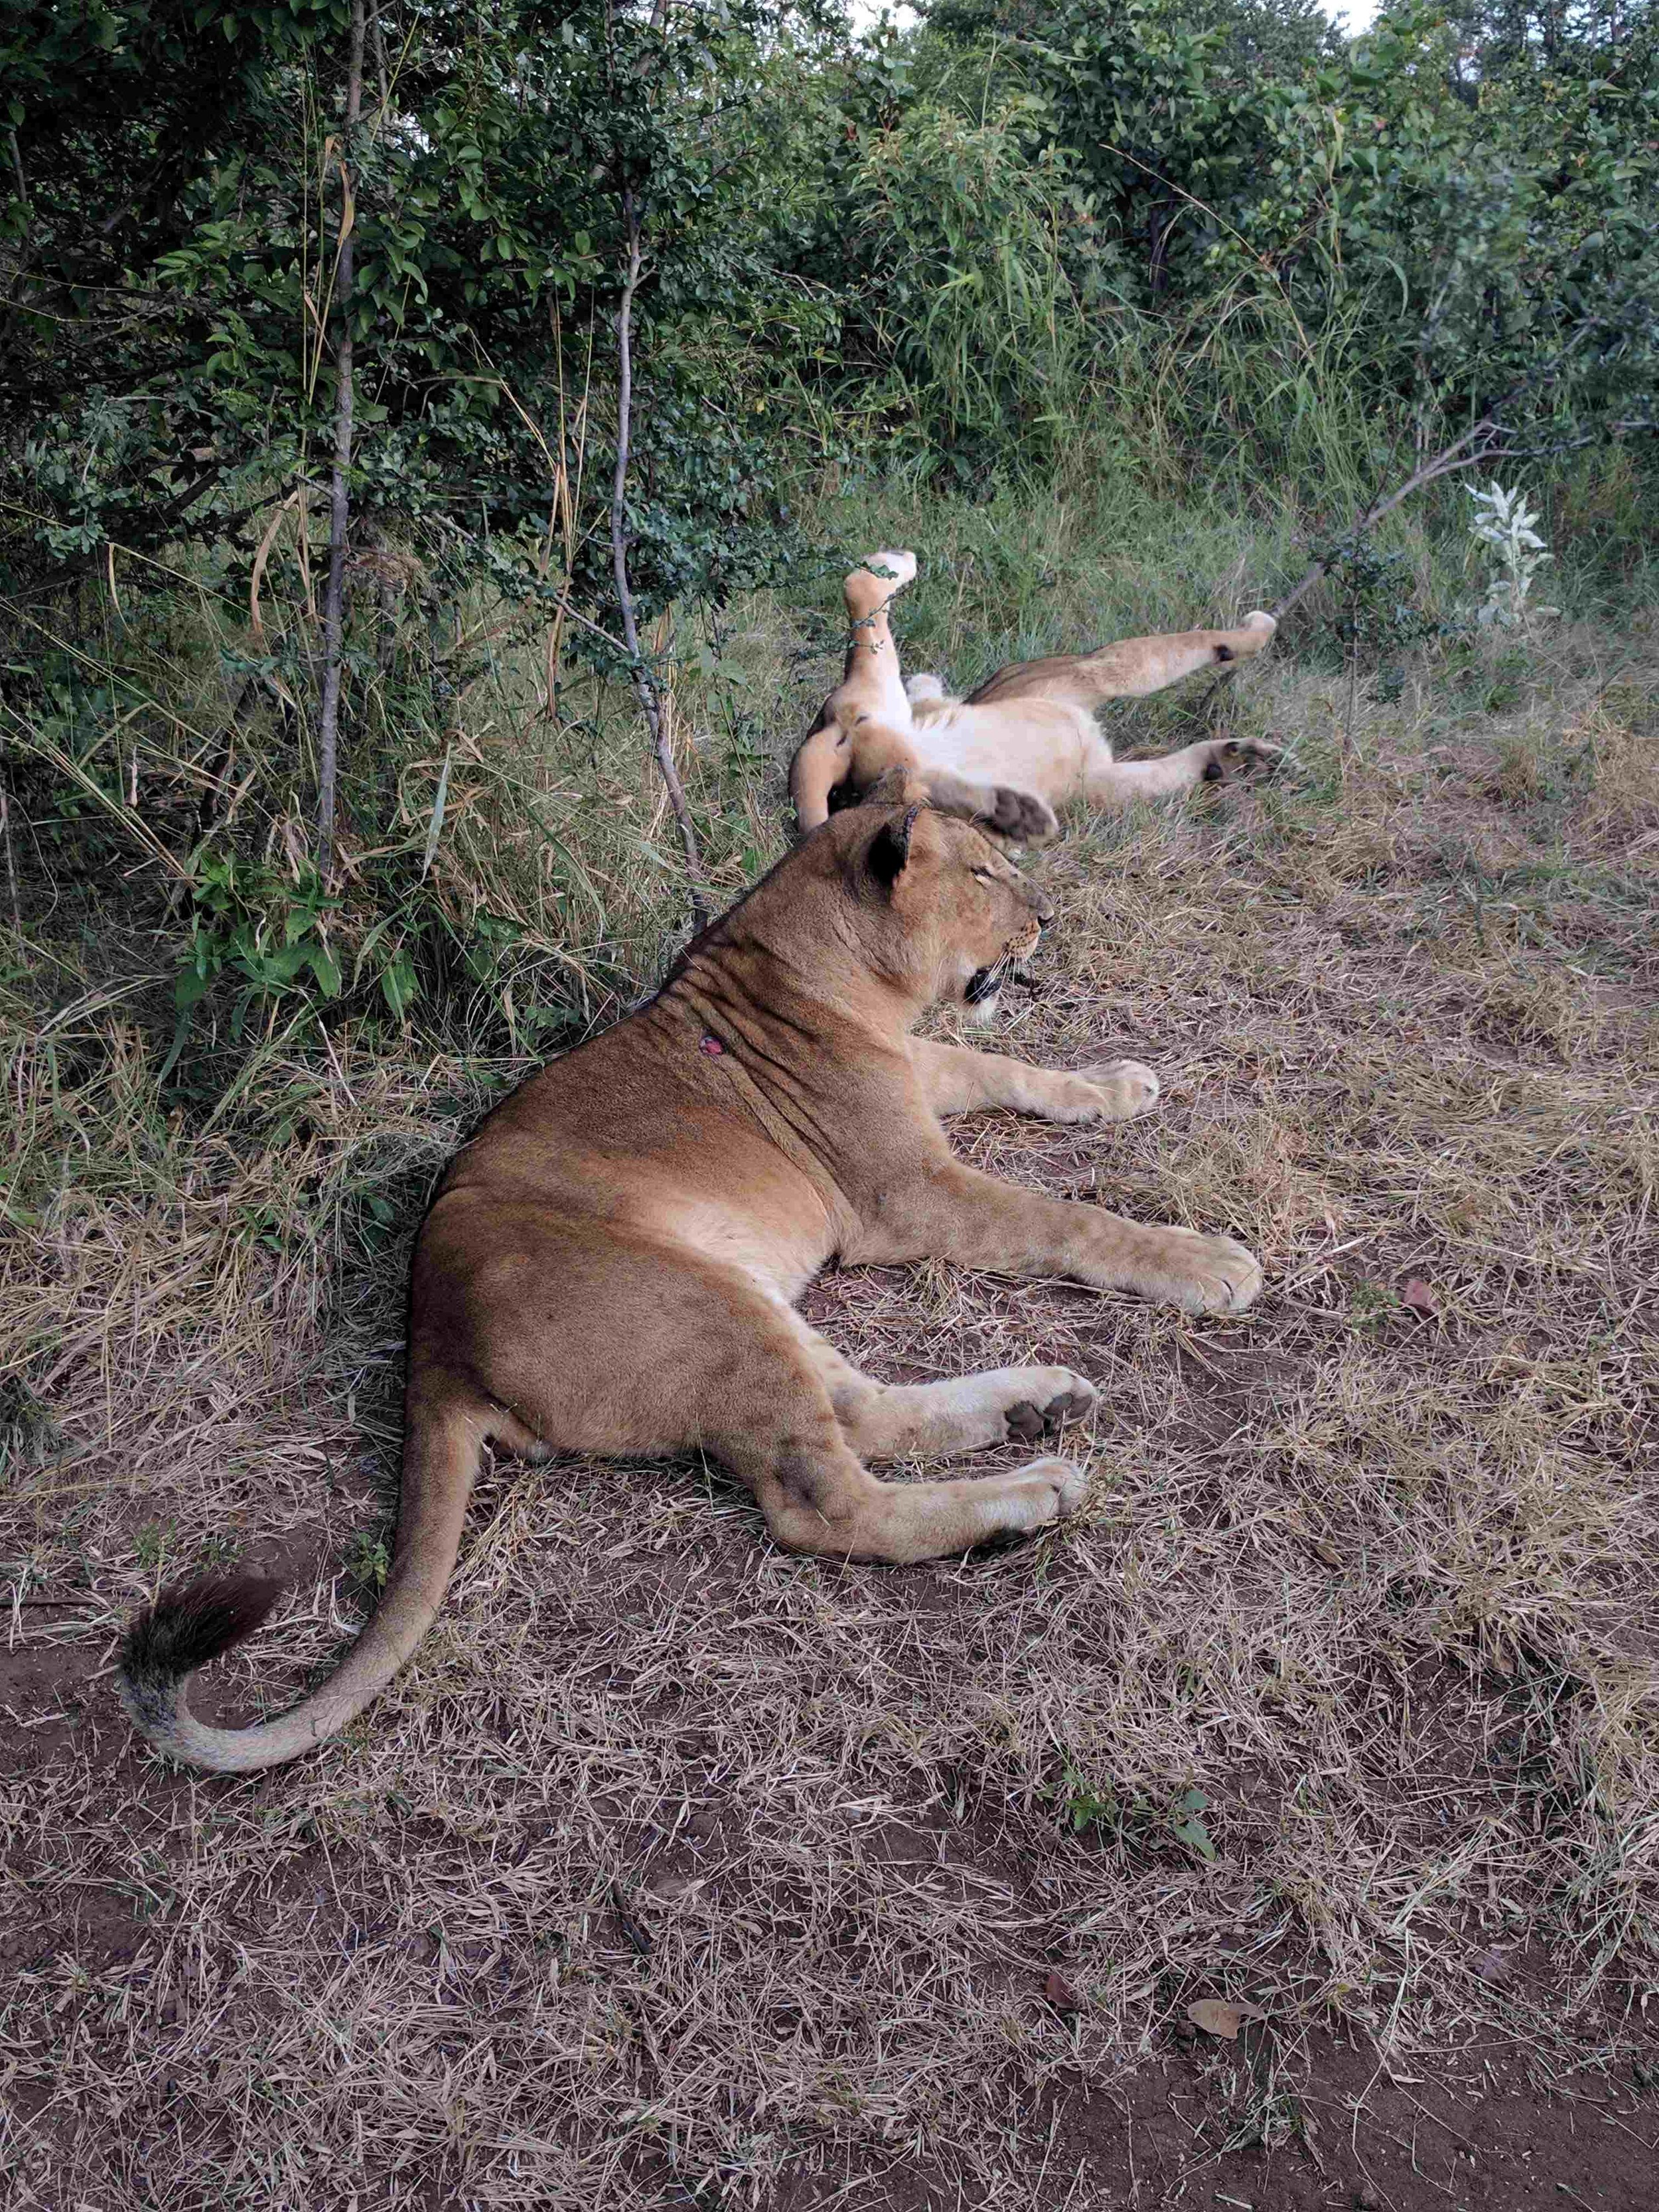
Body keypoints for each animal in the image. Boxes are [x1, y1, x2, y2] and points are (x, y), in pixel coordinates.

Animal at [118, 796, 1262, 1774]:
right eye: (984, 871)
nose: (1049, 921)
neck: (831, 970)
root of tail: (433, 1338)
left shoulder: (920, 1079)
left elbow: (1010, 1071)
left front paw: (1116, 1085)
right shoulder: (906, 1194)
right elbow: (1068, 1219)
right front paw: (1207, 1262)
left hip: (748, 1297)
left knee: (864, 1413)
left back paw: (1037, 1403)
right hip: (707, 1312)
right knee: (828, 1502)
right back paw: (1030, 1491)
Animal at [789, 551, 1282, 840]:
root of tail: (826, 730)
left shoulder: (1096, 779)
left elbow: (1173, 770)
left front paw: (1238, 758)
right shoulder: (1090, 672)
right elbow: (1183, 646)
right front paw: (1258, 630)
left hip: (896, 765)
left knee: (921, 787)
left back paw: (1015, 814)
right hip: (879, 693)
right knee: (859, 587)